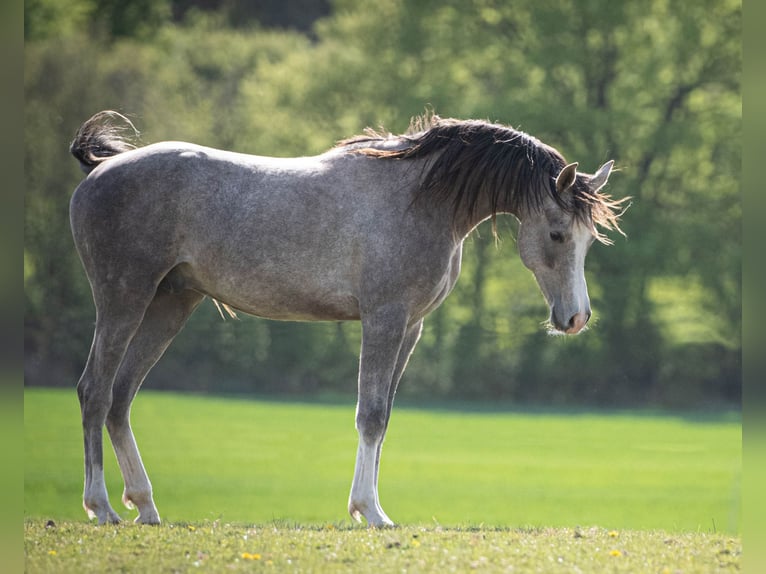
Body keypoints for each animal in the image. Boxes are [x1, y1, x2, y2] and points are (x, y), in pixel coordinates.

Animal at [68, 111, 626, 527]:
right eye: (557, 234)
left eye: (588, 238)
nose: (576, 318)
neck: (420, 198)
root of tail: (97, 173)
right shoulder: (384, 319)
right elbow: (371, 415)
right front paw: (369, 512)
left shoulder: (410, 327)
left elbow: (385, 416)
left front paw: (372, 507)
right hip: (124, 299)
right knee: (95, 390)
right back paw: (101, 507)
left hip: (170, 303)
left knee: (121, 397)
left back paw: (144, 505)